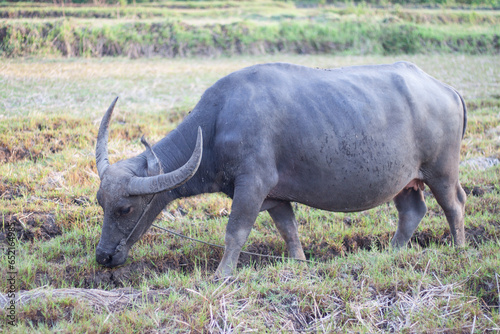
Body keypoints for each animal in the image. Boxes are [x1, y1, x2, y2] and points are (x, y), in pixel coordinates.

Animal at [95, 62, 466, 276]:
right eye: (101, 203)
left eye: (125, 208)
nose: (103, 257)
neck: (216, 124)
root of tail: (447, 90)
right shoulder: (274, 196)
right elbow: (289, 230)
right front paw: (299, 264)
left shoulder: (252, 185)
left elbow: (235, 231)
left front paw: (221, 276)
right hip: (405, 180)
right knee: (412, 212)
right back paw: (391, 253)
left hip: (441, 171)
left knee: (454, 205)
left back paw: (460, 250)